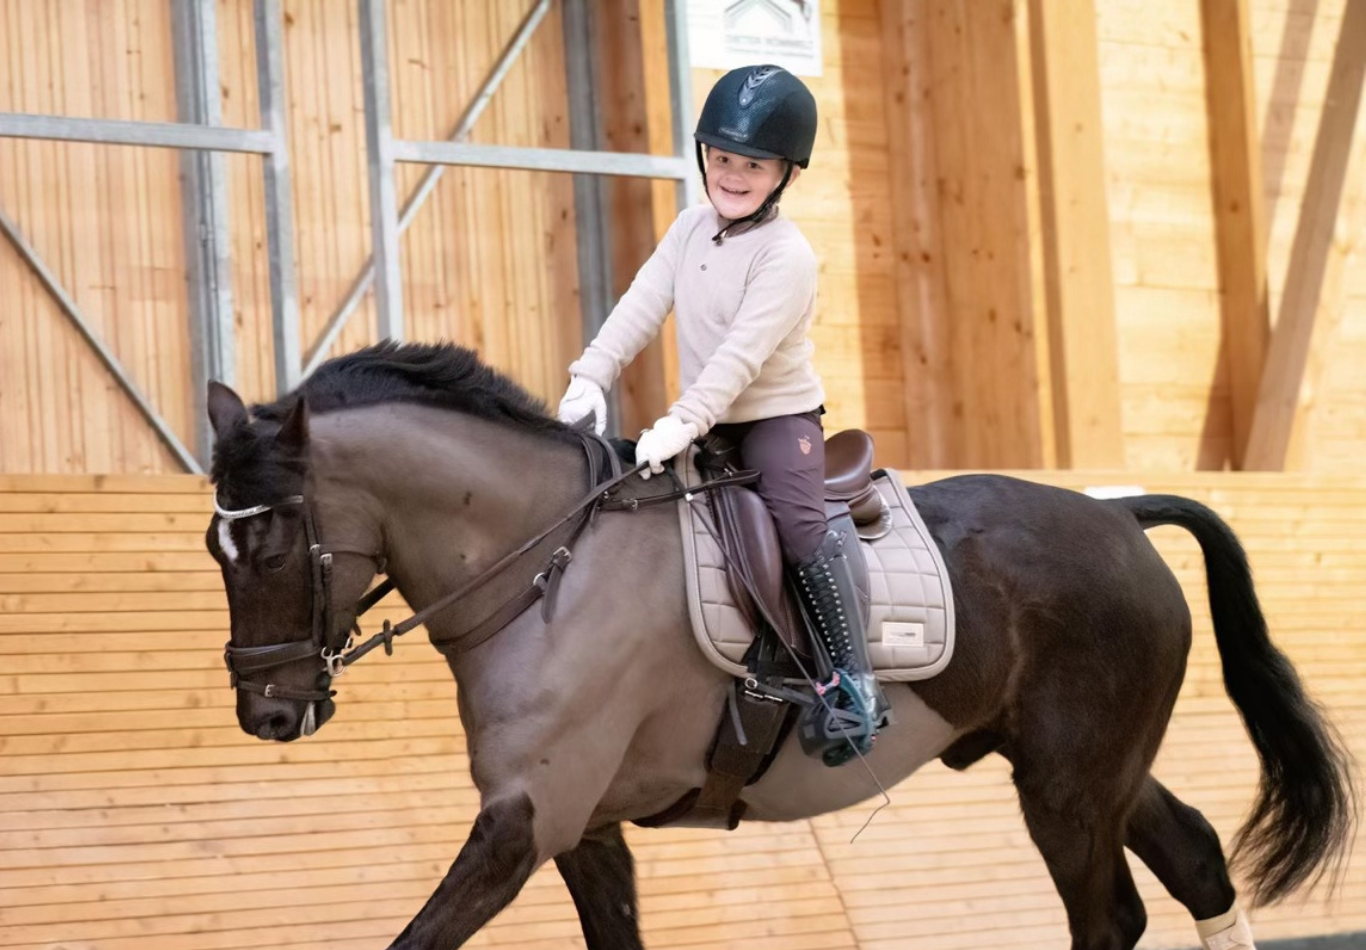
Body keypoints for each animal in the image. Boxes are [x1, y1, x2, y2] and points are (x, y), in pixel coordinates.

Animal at [204, 341, 1352, 950]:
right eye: (215, 544)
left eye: (272, 538)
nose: (266, 712)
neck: (548, 567)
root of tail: (1118, 515)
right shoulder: (580, 827)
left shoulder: (527, 819)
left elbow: (416, 937)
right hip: (1089, 765)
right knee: (1195, 859)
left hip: (1068, 788)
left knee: (1108, 914)